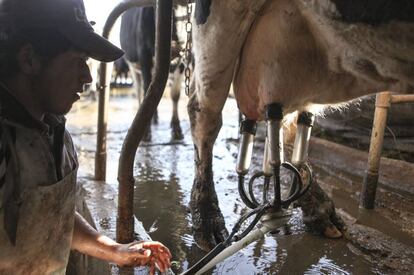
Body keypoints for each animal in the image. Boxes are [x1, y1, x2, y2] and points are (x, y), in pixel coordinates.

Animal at [119, 6, 184, 142]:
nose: (176, 46)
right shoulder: (144, 57)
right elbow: (146, 91)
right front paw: (145, 132)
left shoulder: (182, 61)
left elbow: (175, 95)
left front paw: (176, 129)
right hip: (132, 66)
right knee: (139, 90)